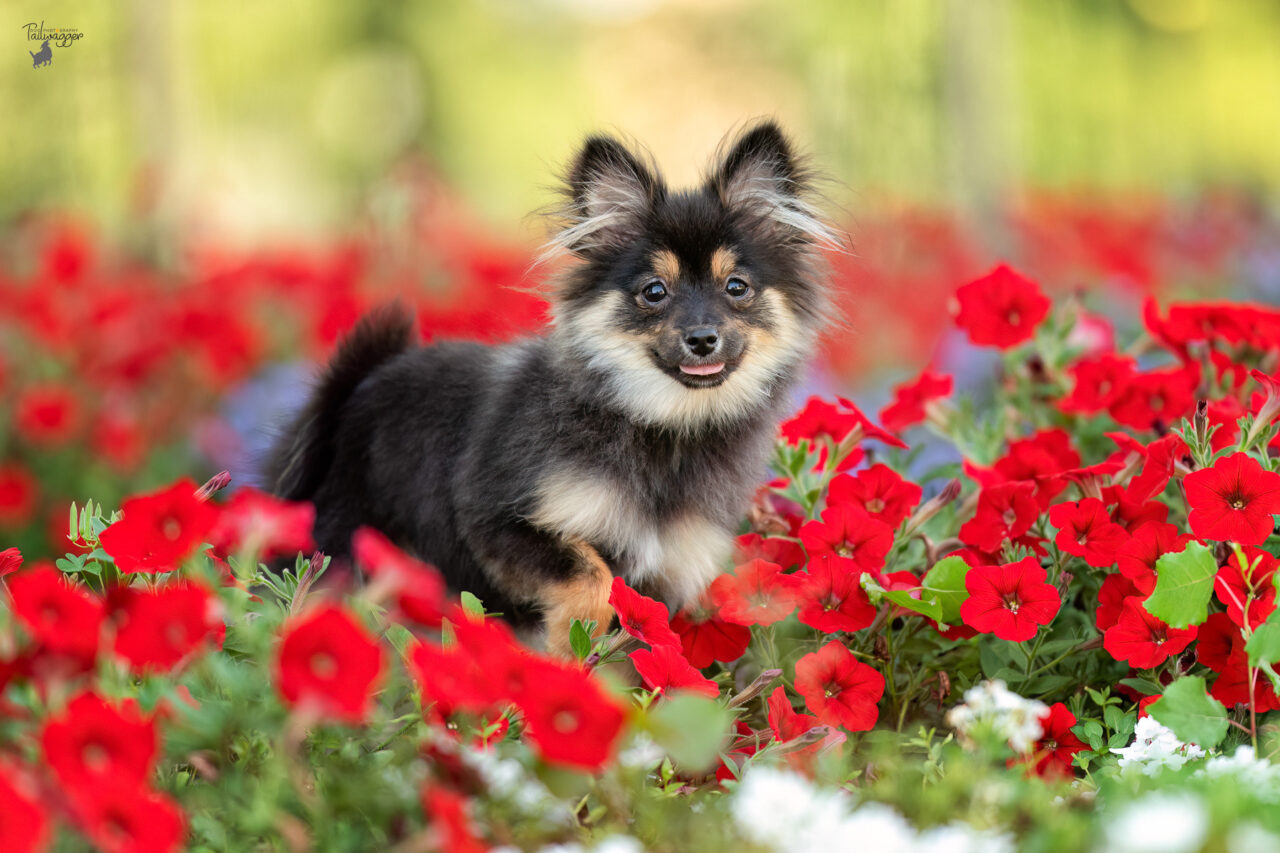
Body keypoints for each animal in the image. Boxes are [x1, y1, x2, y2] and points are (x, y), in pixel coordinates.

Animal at [264, 119, 834, 650]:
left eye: (736, 287)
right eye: (654, 291)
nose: (701, 338)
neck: (661, 423)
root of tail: (350, 393)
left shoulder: (667, 575)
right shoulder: (497, 521)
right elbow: (591, 577)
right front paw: (568, 646)